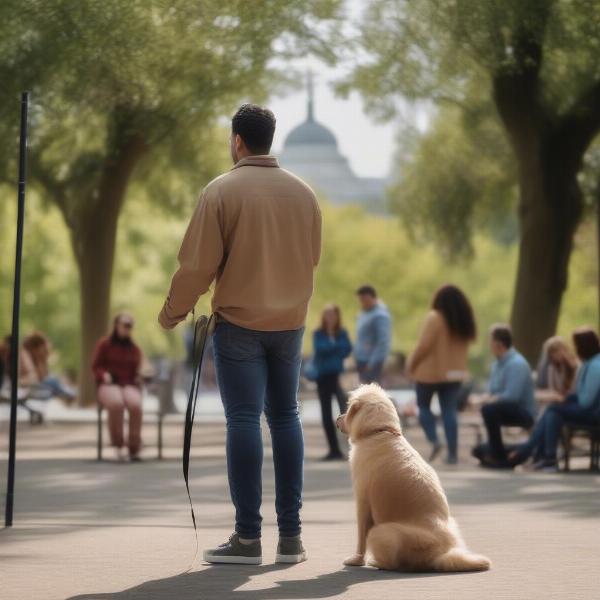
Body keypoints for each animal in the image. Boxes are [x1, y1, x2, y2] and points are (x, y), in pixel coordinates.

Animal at [336, 384, 490, 572]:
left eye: (347, 409)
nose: (337, 418)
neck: (379, 432)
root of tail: (441, 555)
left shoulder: (363, 501)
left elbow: (361, 536)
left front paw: (356, 560)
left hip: (381, 531)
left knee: (392, 562)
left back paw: (376, 562)